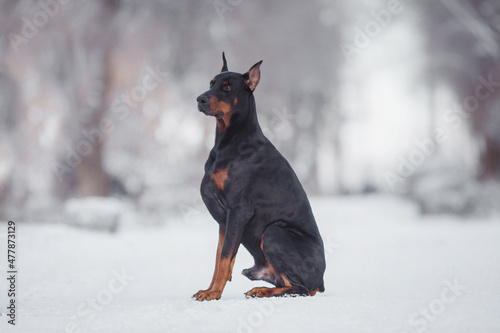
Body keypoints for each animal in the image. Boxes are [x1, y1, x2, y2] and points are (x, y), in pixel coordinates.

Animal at [193, 52, 326, 300]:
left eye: (227, 87)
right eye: (211, 83)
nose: (200, 99)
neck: (230, 140)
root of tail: (321, 280)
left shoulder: (238, 210)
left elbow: (224, 258)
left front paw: (213, 294)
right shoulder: (224, 221)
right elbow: (219, 258)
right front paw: (209, 289)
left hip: (274, 232)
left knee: (302, 289)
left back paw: (262, 291)